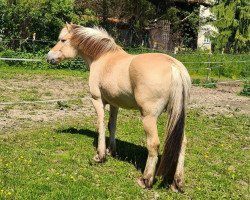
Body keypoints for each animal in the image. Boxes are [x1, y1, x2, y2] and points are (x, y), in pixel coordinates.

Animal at [47, 23, 191, 192]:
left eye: (63, 40)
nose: (49, 57)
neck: (103, 57)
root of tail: (174, 66)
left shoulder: (97, 100)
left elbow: (101, 125)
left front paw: (100, 155)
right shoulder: (115, 104)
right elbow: (112, 126)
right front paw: (111, 151)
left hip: (149, 117)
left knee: (153, 144)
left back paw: (146, 180)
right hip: (175, 114)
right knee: (182, 142)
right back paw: (177, 183)